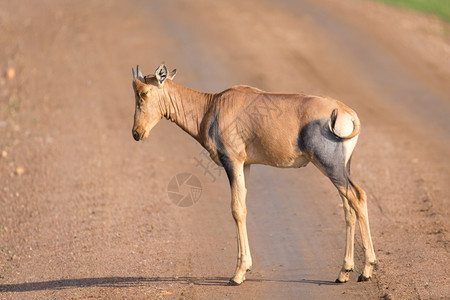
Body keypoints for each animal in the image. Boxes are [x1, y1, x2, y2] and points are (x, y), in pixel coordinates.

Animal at [131, 63, 376, 286]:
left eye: (144, 93)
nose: (136, 133)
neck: (214, 105)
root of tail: (346, 113)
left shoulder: (233, 161)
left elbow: (237, 209)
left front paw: (238, 274)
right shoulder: (246, 165)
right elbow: (243, 207)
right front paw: (245, 268)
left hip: (330, 166)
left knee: (358, 197)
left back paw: (366, 270)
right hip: (342, 168)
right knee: (348, 207)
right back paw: (344, 272)